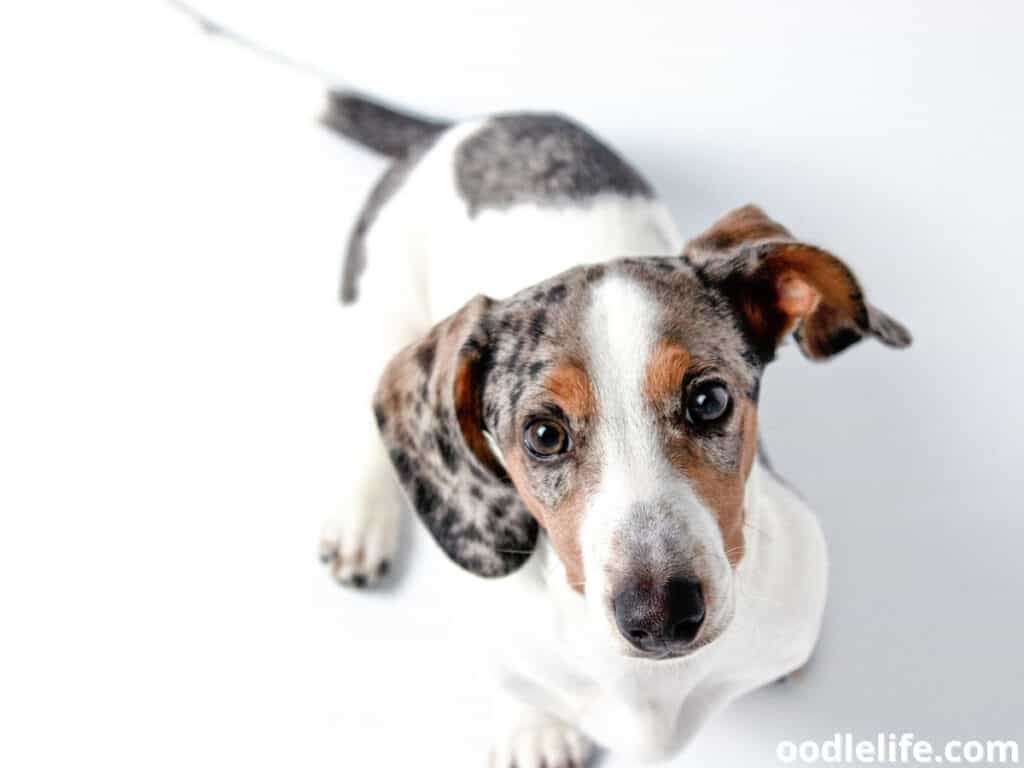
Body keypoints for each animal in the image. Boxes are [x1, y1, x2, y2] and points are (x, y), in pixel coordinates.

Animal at [315, 90, 909, 765]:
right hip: (379, 311)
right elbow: (522, 684)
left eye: (709, 399)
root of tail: (458, 129)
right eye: (543, 435)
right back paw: (363, 522)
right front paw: (535, 729)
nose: (661, 615)